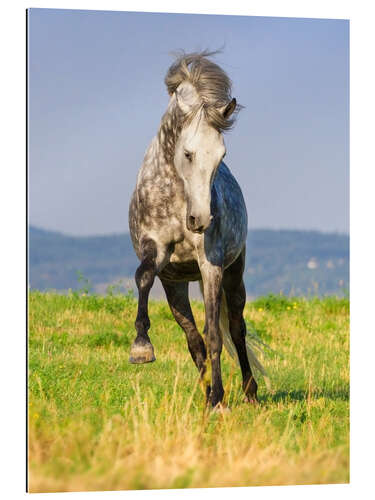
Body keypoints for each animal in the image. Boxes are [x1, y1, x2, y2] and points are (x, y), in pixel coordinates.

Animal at [129, 51, 268, 410]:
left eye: (222, 155)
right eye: (188, 153)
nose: (200, 220)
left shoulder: (211, 265)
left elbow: (216, 335)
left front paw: (219, 400)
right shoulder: (156, 252)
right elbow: (143, 276)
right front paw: (141, 348)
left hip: (234, 273)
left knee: (235, 328)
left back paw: (248, 392)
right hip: (176, 284)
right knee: (193, 340)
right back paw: (206, 393)